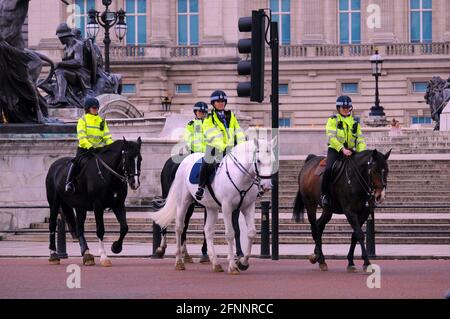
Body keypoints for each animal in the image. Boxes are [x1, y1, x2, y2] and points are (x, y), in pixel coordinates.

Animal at [149, 140, 272, 276]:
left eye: (272, 159)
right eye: (259, 160)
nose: (266, 185)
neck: (239, 176)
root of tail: (184, 160)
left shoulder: (248, 207)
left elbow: (251, 233)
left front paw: (243, 262)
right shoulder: (227, 207)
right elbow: (230, 234)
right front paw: (232, 266)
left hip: (210, 207)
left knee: (207, 230)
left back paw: (215, 263)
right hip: (183, 202)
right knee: (180, 227)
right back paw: (178, 261)